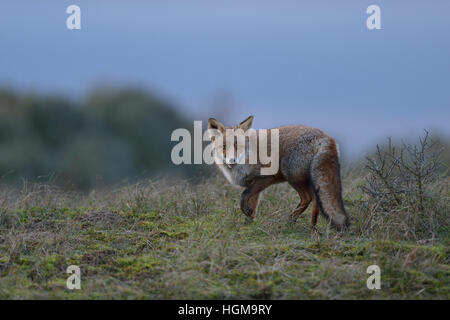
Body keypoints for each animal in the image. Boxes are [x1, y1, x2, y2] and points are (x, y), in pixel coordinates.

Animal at [208, 116, 352, 231]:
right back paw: (312, 226)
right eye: (224, 147)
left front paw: (246, 214)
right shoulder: (254, 185)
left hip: (292, 175)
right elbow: (252, 205)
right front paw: (248, 225)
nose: (232, 160)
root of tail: (327, 138)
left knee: (308, 198)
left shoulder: (265, 179)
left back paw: (291, 221)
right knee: (316, 199)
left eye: (239, 146)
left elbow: (244, 197)